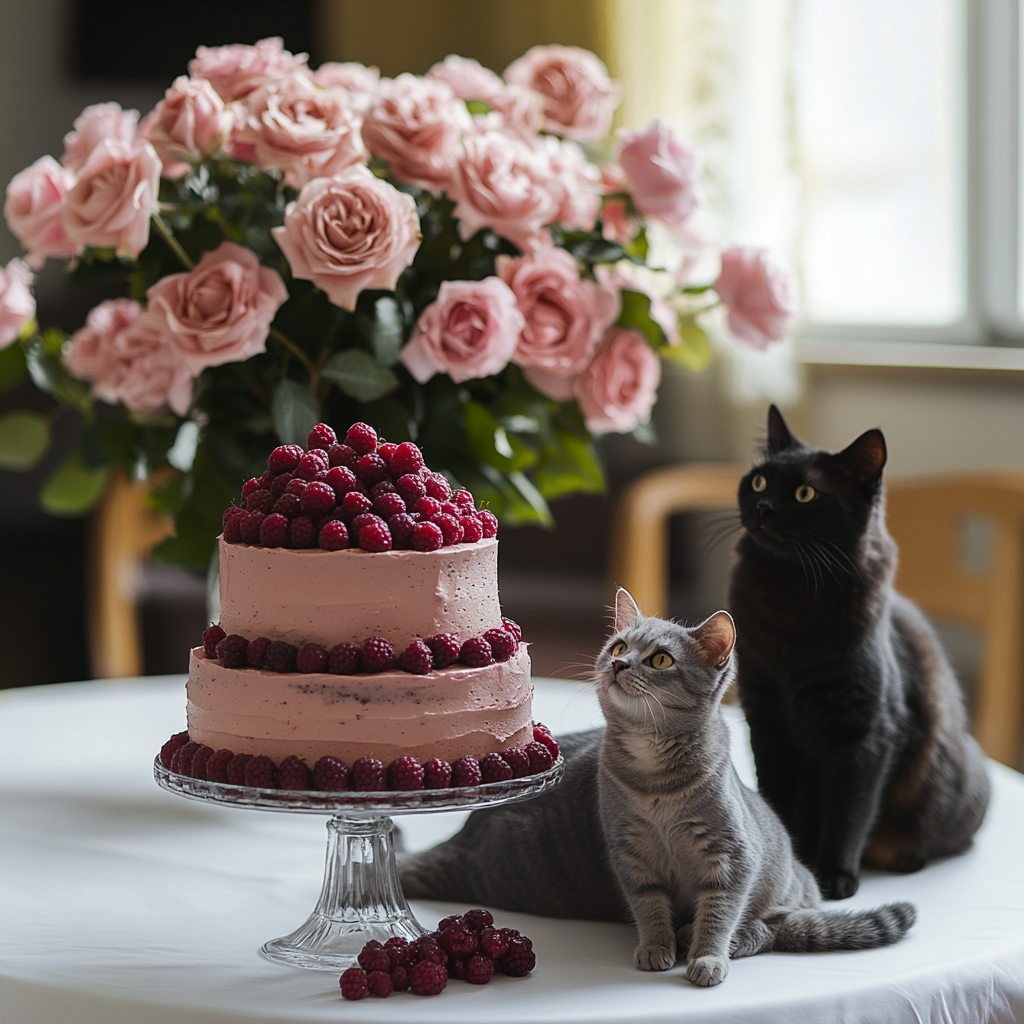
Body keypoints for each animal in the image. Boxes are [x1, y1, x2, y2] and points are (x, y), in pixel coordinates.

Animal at [395, 593, 917, 983]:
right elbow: (648, 908)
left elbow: (718, 914)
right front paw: (656, 947)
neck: (654, 781)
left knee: (775, 928)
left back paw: (725, 939)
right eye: (617, 646)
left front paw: (707, 956)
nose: (620, 665)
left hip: (782, 888)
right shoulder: (631, 855)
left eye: (661, 659)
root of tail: (466, 836)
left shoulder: (732, 858)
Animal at [724, 403, 987, 901]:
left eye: (805, 493)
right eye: (760, 482)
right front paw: (788, 861)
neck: (790, 600)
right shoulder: (766, 716)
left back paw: (907, 856)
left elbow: (850, 810)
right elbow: (776, 794)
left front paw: (835, 877)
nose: (763, 508)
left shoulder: (866, 733)